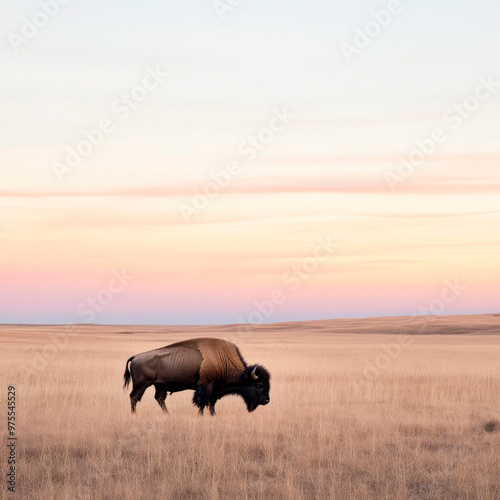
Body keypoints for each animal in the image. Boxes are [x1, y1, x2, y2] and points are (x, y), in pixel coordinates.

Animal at [122, 338, 270, 416]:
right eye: (259, 384)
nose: (266, 400)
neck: (223, 360)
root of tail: (136, 357)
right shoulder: (206, 386)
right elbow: (202, 402)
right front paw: (201, 416)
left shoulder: (215, 389)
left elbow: (211, 402)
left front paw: (213, 415)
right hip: (141, 385)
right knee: (134, 397)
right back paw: (134, 414)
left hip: (159, 386)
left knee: (159, 399)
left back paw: (168, 414)